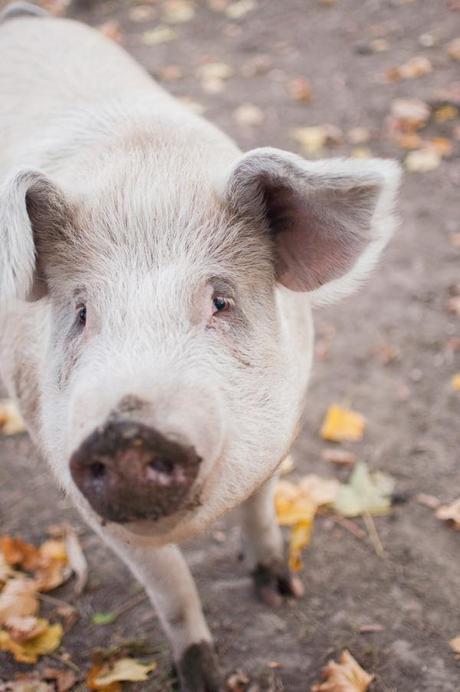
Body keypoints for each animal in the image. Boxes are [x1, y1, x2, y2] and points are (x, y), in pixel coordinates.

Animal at [0, 3, 401, 689]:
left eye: (220, 301)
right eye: (80, 313)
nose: (127, 432)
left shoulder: (286, 424)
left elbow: (262, 507)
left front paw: (281, 592)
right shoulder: (79, 488)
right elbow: (173, 591)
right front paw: (205, 677)